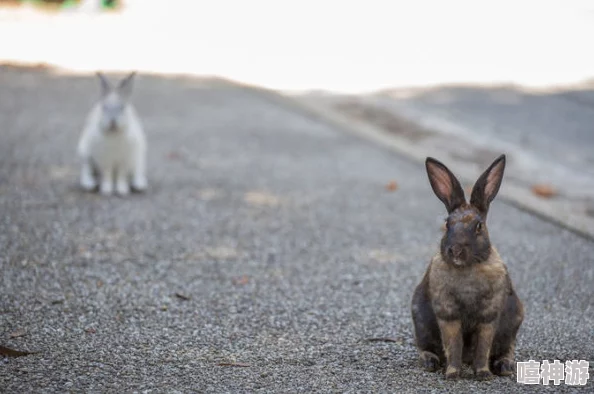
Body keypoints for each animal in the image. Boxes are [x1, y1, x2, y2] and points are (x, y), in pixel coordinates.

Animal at [412, 154, 524, 378]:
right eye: (447, 224)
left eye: (479, 226)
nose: (455, 250)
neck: (468, 268)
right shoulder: (448, 315)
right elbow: (453, 344)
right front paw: (453, 374)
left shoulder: (488, 317)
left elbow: (483, 347)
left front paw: (483, 374)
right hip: (420, 320)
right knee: (425, 346)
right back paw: (430, 362)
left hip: (514, 320)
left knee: (507, 349)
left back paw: (504, 367)